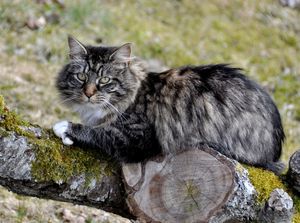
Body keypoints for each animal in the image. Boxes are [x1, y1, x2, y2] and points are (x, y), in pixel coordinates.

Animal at [52, 35, 284, 173]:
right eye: (82, 77)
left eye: (105, 80)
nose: (89, 93)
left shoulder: (139, 137)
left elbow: (99, 132)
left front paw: (66, 127)